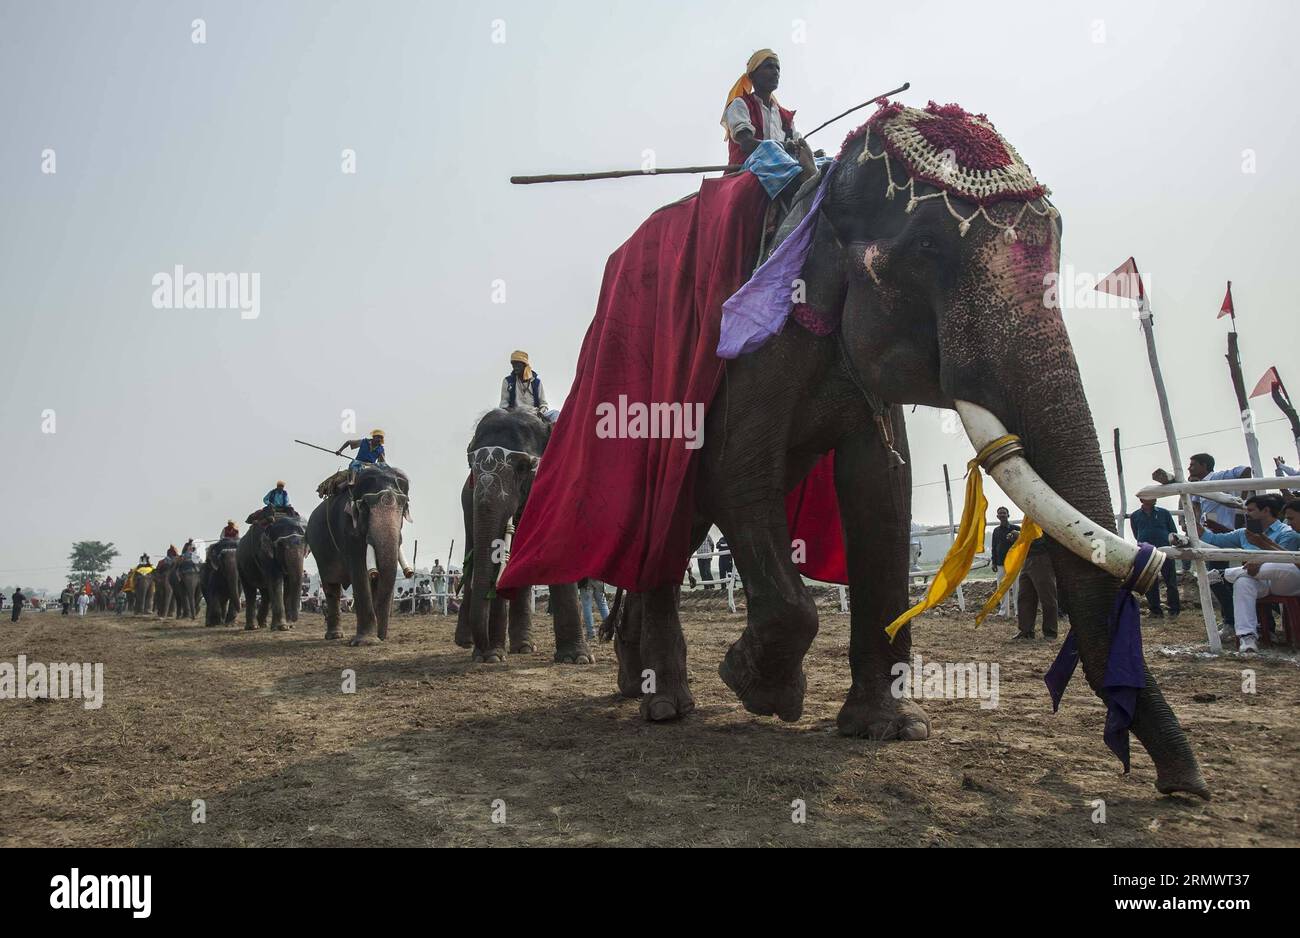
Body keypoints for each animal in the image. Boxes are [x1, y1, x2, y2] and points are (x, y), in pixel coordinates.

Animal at [302, 459, 408, 644]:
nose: (382, 637)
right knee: (331, 587)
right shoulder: (347, 531)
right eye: (364, 507)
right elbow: (360, 572)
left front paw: (375, 638)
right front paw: (366, 642)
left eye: (403, 507)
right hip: (319, 550)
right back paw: (334, 636)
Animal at [457, 405, 590, 662]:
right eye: (471, 467)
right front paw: (491, 657)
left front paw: (575, 659)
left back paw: (523, 647)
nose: (481, 648)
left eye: (522, 467)